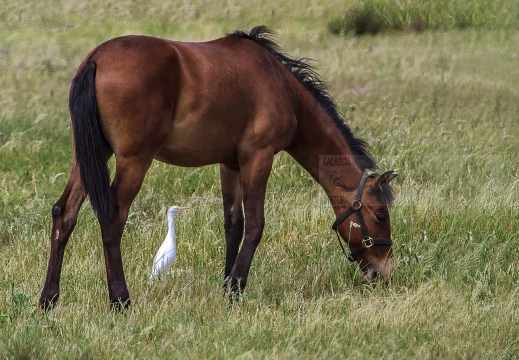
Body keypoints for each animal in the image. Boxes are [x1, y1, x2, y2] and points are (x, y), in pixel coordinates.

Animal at [39, 26, 398, 310]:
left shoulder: (231, 164)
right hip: (133, 160)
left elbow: (233, 225)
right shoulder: (258, 158)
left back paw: (48, 299)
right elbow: (255, 224)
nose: (382, 273)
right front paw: (236, 288)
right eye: (381, 215)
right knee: (113, 218)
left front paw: (226, 283)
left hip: (89, 155)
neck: (282, 88)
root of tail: (97, 58)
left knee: (64, 213)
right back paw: (120, 300)